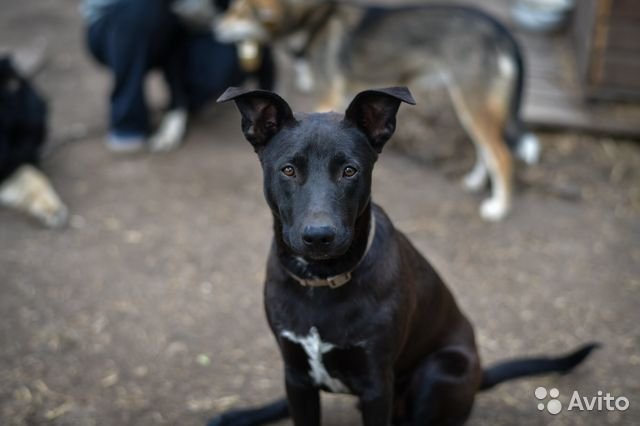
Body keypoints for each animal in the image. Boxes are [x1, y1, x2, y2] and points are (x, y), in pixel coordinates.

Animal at [208, 86, 596, 425]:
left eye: (349, 170)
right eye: (288, 169)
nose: (319, 236)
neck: (321, 281)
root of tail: (480, 372)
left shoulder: (377, 384)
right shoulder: (297, 376)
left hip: (440, 371)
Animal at [214, 0, 542, 221]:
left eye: (240, 13)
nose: (214, 27)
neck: (315, 21)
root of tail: (502, 31)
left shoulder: (327, 95)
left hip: (473, 102)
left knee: (501, 154)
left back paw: (499, 207)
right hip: (468, 105)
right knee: (486, 148)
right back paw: (475, 182)